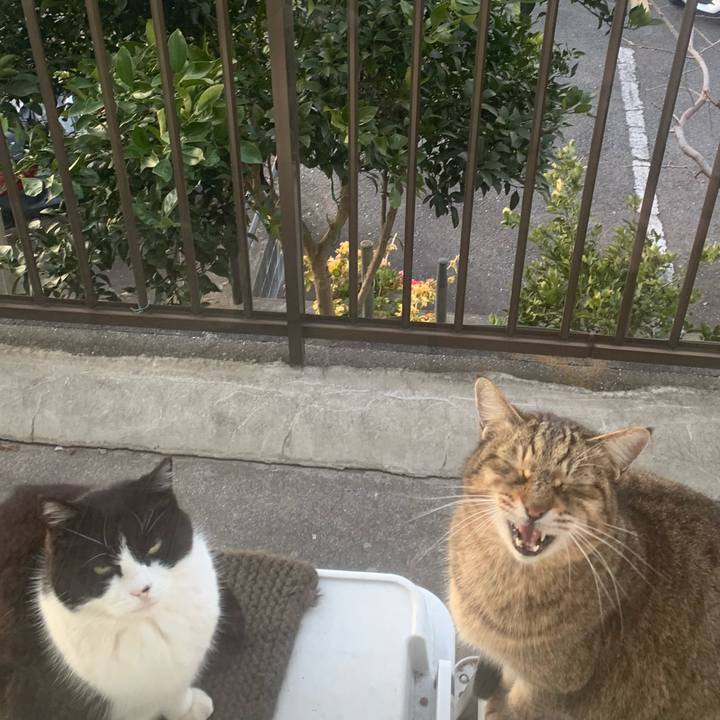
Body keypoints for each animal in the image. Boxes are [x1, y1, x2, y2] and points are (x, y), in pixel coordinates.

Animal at [0, 457, 243, 720]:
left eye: (154, 546)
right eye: (101, 567)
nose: (142, 589)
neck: (150, 627)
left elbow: (175, 690)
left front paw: (185, 708)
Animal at [449, 378, 720, 720]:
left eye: (571, 486)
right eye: (517, 470)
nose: (535, 510)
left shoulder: (548, 690)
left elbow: (517, 706)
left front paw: (497, 707)